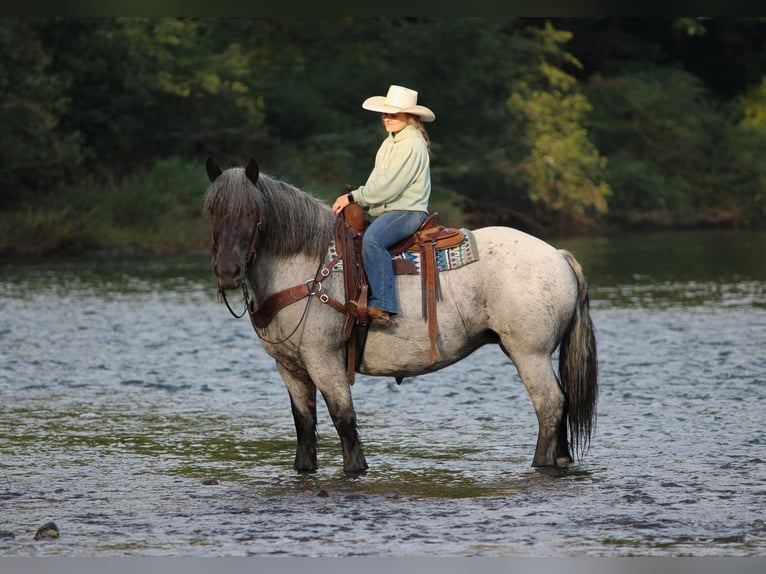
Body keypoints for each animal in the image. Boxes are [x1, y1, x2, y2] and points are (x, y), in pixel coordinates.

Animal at [203, 157, 598, 475]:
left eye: (252, 214)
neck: (309, 269)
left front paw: (356, 469)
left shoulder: (323, 359)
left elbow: (344, 419)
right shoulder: (290, 367)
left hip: (529, 354)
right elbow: (304, 426)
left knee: (549, 405)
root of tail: (559, 255)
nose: (227, 271)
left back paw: (542, 463)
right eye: (211, 211)